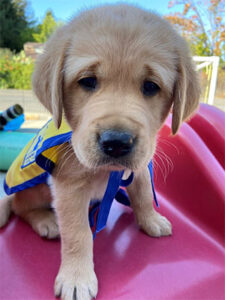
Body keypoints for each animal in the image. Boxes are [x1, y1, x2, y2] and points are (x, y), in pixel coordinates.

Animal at [0, 4, 200, 300]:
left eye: (151, 86)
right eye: (88, 81)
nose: (116, 142)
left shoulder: (140, 167)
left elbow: (142, 195)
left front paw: (151, 219)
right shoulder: (69, 189)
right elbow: (78, 233)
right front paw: (76, 278)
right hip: (34, 190)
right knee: (19, 206)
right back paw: (46, 221)